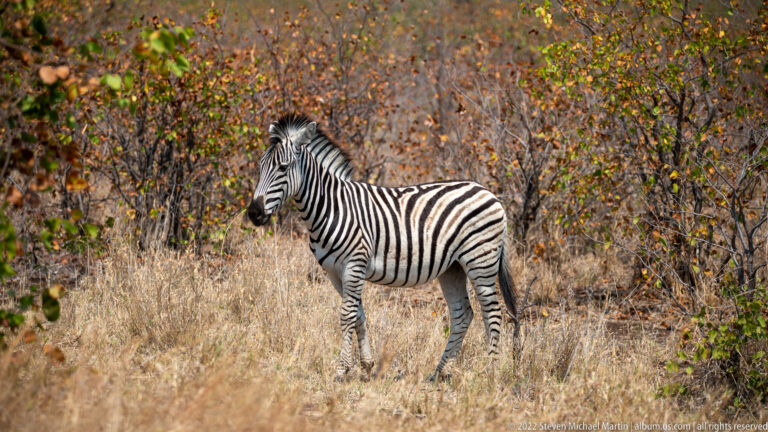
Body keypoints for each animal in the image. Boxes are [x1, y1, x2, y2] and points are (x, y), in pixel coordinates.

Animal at [248, 113, 518, 382]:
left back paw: (490, 371)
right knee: (462, 314)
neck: (331, 207)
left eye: (283, 168)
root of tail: (489, 193)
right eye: (260, 167)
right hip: (453, 268)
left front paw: (341, 370)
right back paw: (440, 372)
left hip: (480, 260)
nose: (253, 213)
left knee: (493, 313)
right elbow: (358, 314)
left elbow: (346, 316)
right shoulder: (334, 272)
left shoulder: (354, 264)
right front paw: (366, 365)